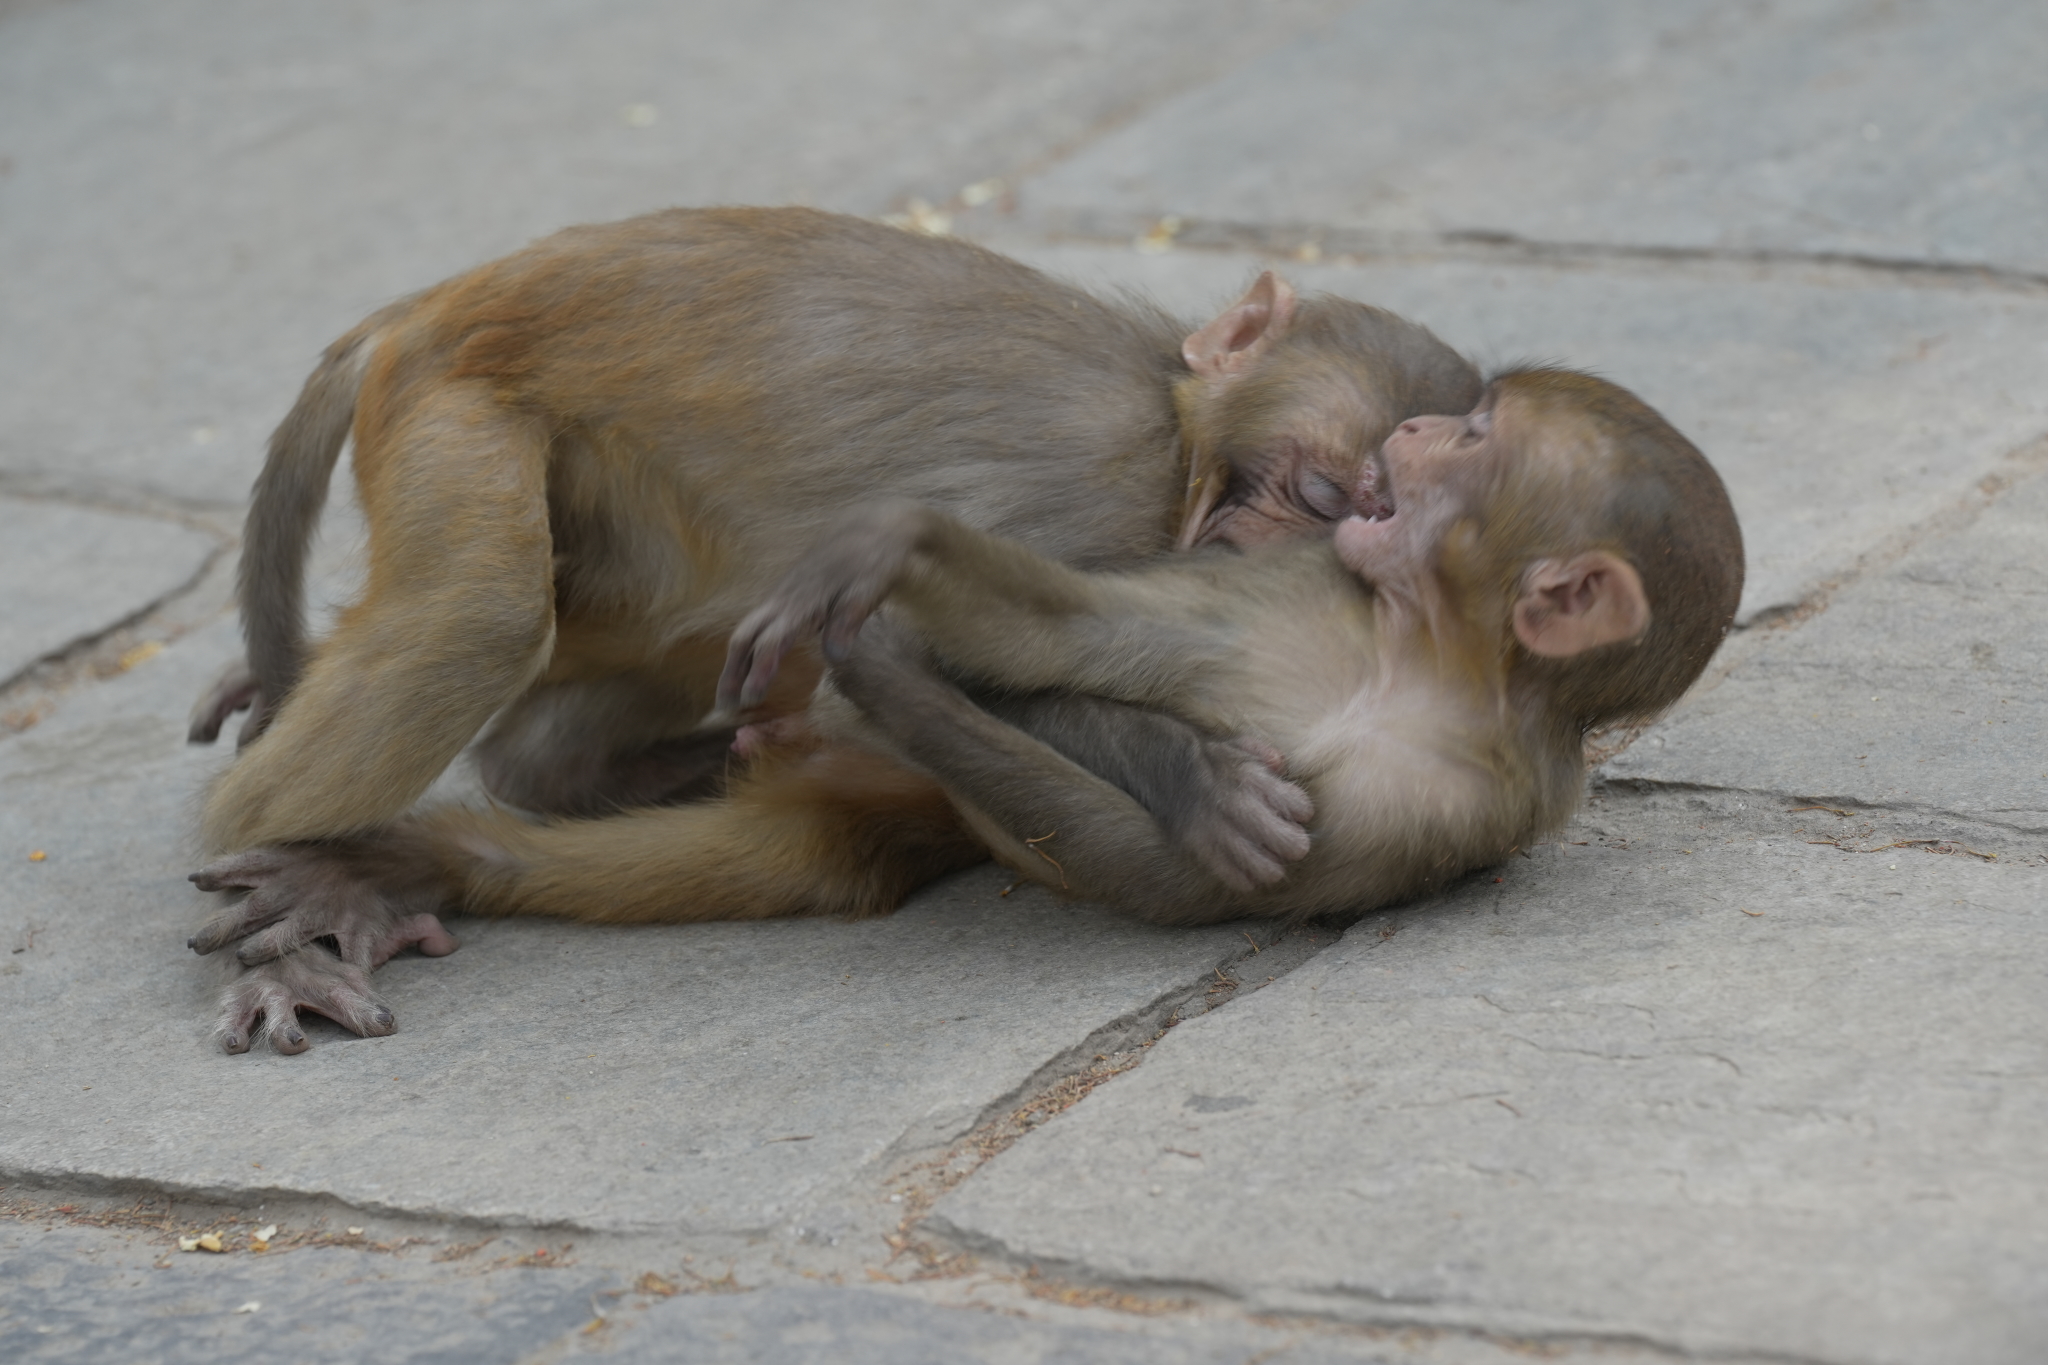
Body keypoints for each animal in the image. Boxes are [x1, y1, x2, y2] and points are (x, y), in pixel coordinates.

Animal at [708, 368, 1744, 925]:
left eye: (1475, 434)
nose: (1413, 426)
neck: (1419, 659)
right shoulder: (1308, 578)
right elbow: (1080, 632)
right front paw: (899, 539)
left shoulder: (1464, 799)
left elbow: (1164, 874)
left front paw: (879, 669)